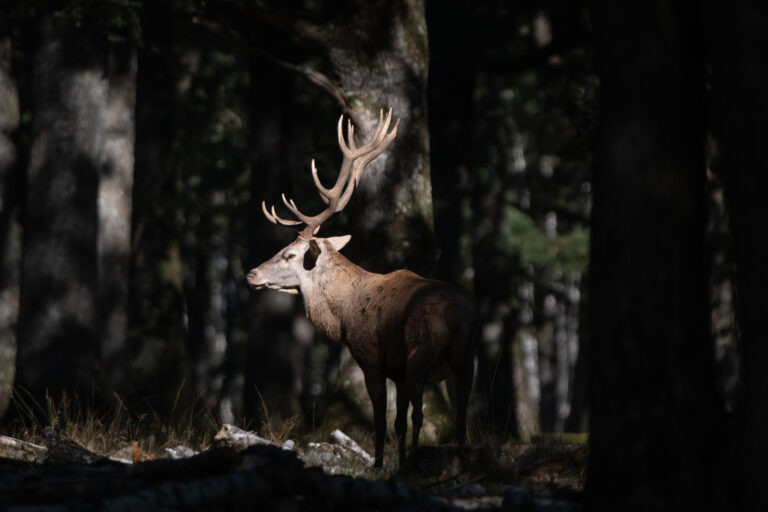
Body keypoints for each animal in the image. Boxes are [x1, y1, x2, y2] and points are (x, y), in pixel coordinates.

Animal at [246, 109, 478, 468]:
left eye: (288, 254)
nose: (251, 273)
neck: (344, 315)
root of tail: (456, 314)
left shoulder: (371, 357)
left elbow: (382, 420)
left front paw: (381, 464)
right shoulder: (397, 370)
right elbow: (397, 421)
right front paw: (396, 460)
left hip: (421, 351)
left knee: (422, 414)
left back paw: (417, 461)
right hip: (467, 356)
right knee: (462, 413)